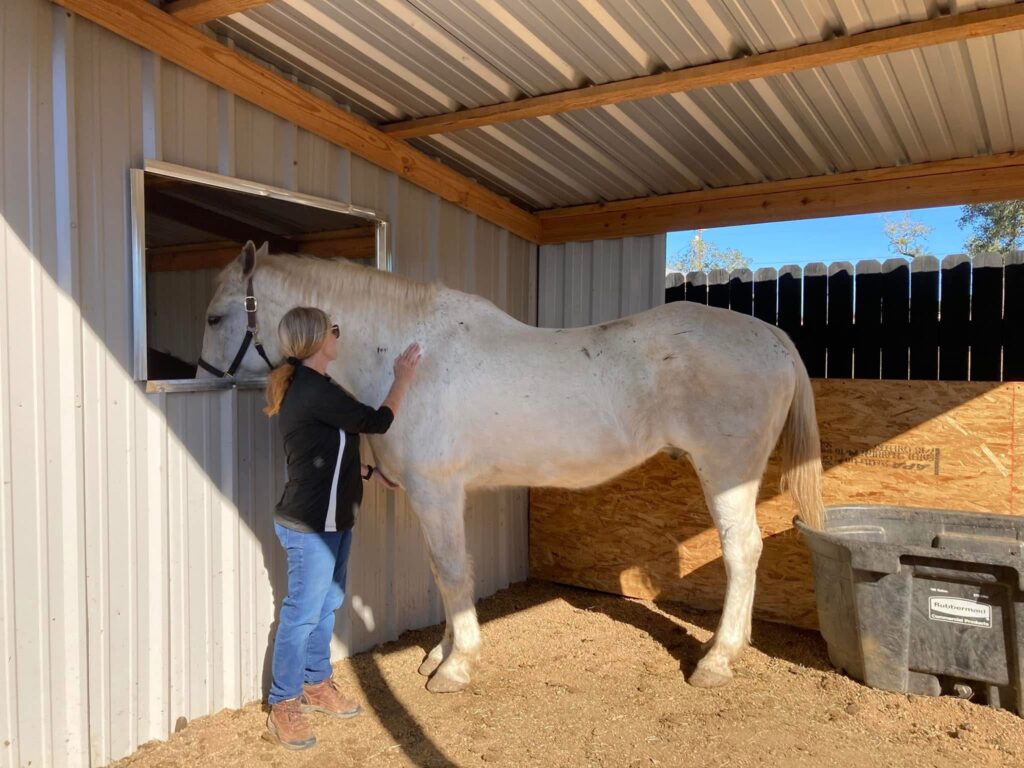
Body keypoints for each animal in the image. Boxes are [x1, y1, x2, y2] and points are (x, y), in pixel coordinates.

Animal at [197, 243, 823, 696]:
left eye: (215, 315)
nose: (201, 378)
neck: (404, 353)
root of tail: (771, 335)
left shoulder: (436, 491)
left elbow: (452, 573)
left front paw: (455, 668)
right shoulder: (448, 496)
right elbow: (446, 571)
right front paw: (441, 652)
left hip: (728, 473)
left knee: (742, 551)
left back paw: (716, 661)